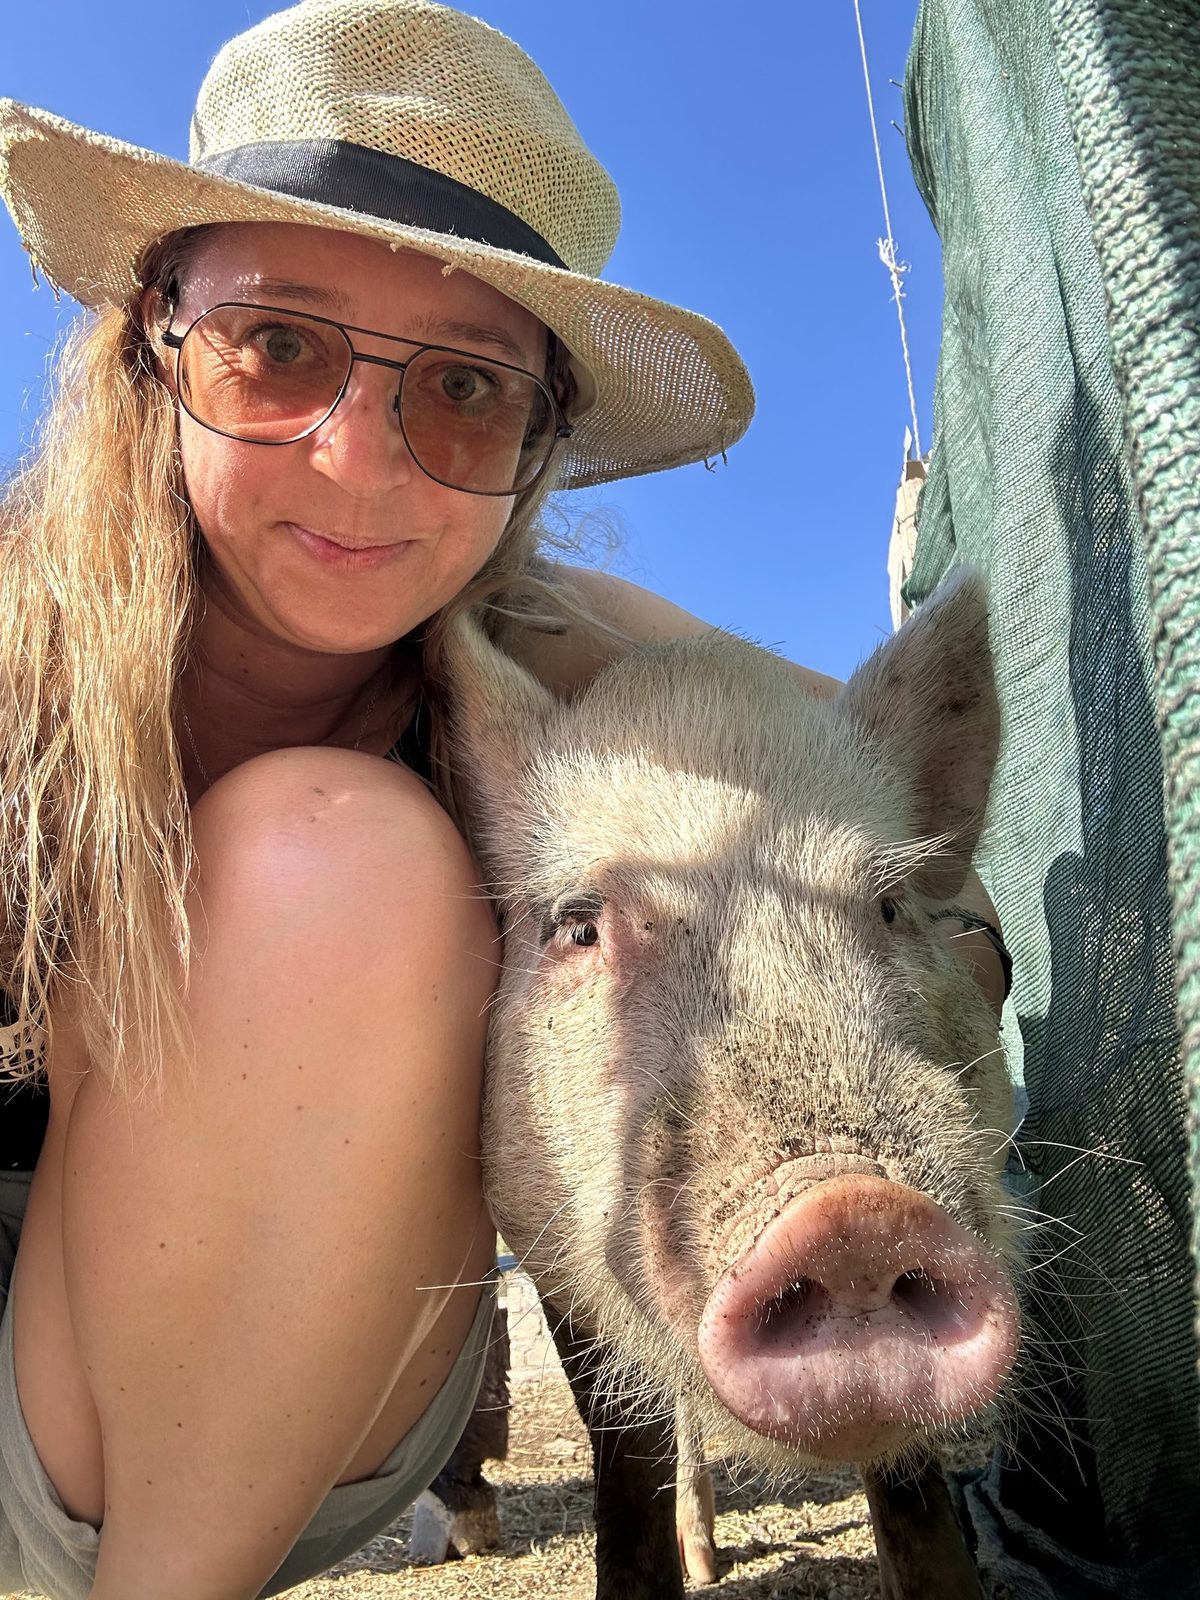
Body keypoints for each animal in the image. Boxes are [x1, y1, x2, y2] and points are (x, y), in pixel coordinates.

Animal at [442, 569, 1019, 1600]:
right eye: (579, 926)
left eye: (889, 907)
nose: (851, 1209)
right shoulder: (541, 1245)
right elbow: (623, 1444)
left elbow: (909, 1479)